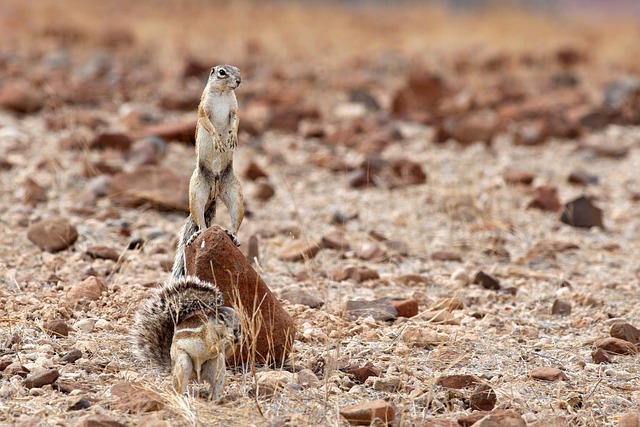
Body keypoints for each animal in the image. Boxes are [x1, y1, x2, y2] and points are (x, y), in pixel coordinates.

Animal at [172, 65, 245, 280]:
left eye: (238, 70)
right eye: (222, 72)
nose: (239, 81)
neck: (223, 94)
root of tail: (214, 190)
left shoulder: (234, 109)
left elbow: (236, 120)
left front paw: (232, 136)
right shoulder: (203, 107)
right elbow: (206, 122)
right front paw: (218, 140)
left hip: (235, 194)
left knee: (235, 218)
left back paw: (233, 236)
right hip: (197, 193)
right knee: (200, 221)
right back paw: (200, 233)